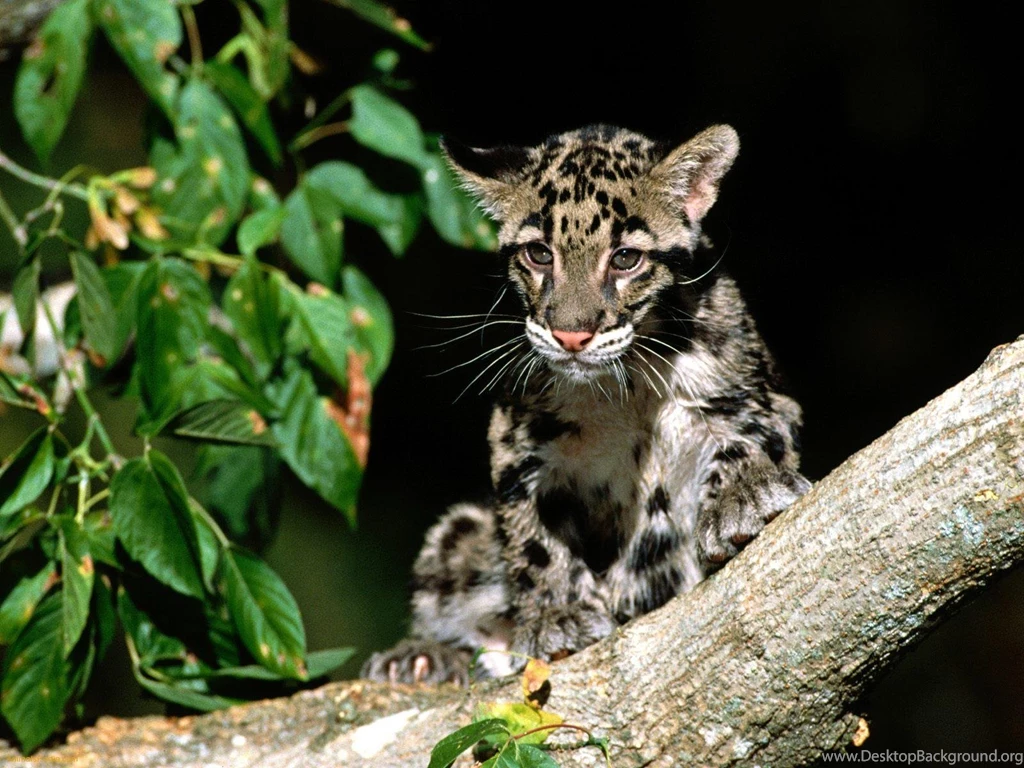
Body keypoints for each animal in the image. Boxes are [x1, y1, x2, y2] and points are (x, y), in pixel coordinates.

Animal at [363, 123, 811, 684]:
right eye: (538, 254)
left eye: (625, 259)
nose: (570, 335)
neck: (627, 385)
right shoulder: (518, 442)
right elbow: (531, 534)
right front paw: (557, 615)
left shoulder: (759, 392)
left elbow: (751, 434)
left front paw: (743, 496)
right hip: (460, 533)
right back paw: (422, 657)